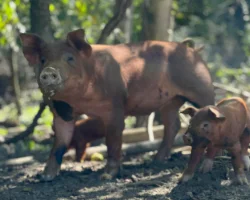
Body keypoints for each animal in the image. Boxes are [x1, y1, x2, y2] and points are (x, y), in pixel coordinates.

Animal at [19, 29, 215, 181]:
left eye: (69, 58)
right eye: (43, 60)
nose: (49, 71)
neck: (81, 101)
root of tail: (192, 49)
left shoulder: (115, 105)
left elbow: (112, 139)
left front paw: (106, 176)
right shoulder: (60, 111)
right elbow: (60, 142)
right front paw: (45, 177)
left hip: (202, 87)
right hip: (170, 101)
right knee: (173, 124)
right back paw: (156, 160)